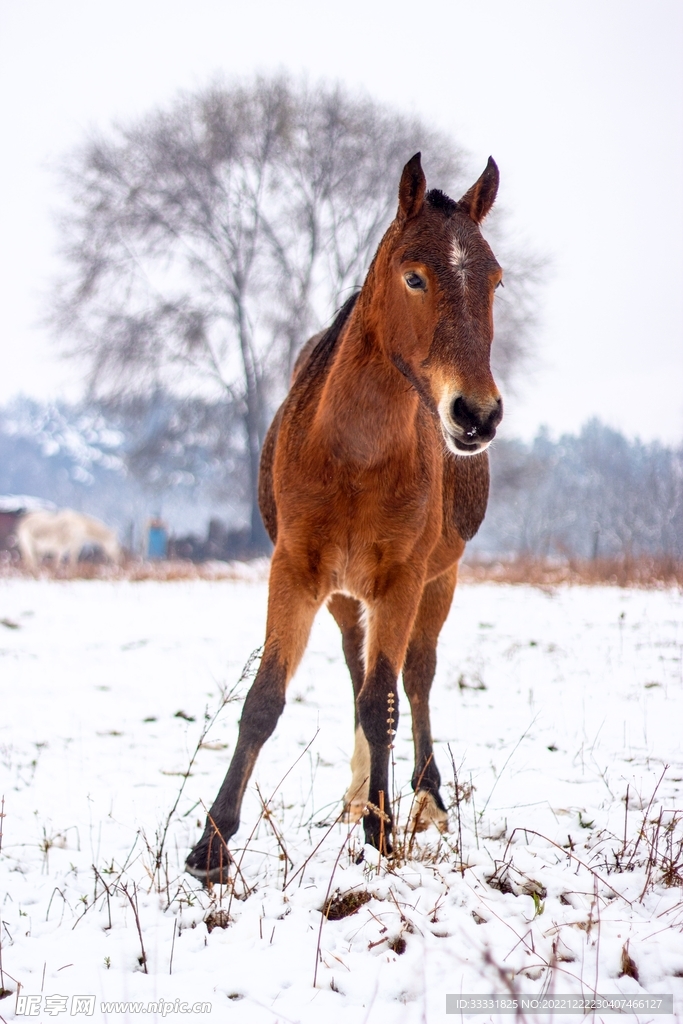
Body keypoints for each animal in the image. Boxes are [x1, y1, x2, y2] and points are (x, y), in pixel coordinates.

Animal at [186, 153, 503, 882]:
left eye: (496, 280)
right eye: (413, 276)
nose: (475, 415)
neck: (354, 455)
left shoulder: (402, 579)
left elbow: (384, 702)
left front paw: (382, 833)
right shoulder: (297, 572)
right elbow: (264, 701)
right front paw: (212, 844)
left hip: (438, 580)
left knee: (413, 678)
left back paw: (422, 799)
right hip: (342, 596)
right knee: (360, 670)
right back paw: (358, 792)